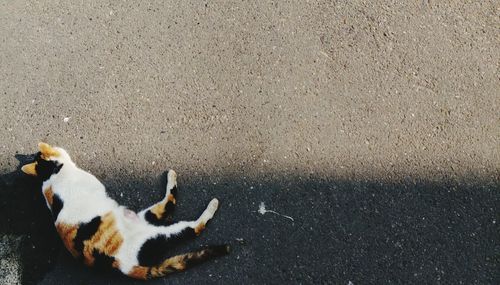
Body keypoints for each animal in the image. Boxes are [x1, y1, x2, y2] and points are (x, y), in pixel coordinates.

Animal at [20, 141, 229, 278]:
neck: (52, 174)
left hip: (146, 215)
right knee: (187, 220)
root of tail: (125, 267)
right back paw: (207, 201)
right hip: (158, 228)